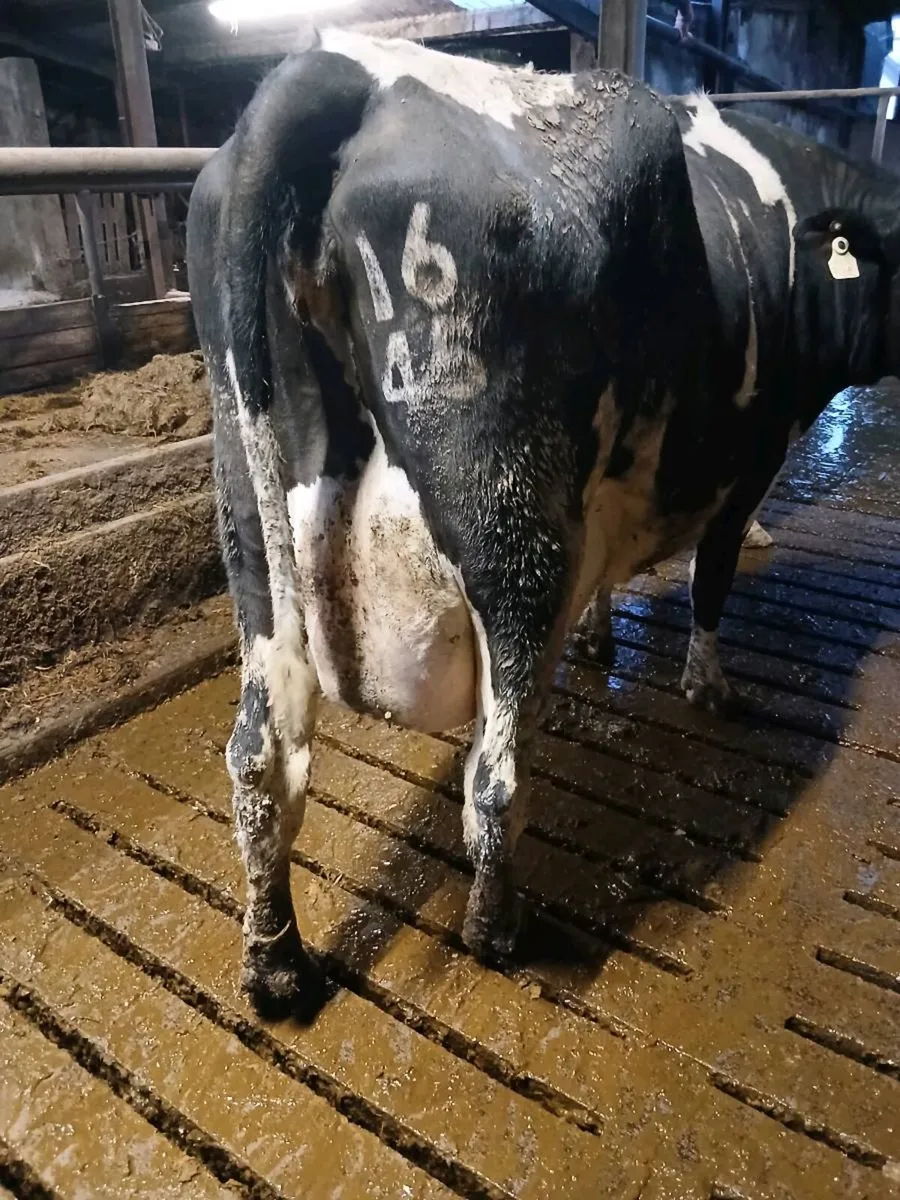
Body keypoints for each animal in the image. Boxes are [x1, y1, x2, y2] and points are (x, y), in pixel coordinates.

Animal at [187, 32, 900, 1019]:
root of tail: (337, 67)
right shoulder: (746, 466)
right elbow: (713, 579)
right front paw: (708, 686)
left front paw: (603, 640)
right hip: (513, 538)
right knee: (493, 780)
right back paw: (496, 931)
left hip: (256, 534)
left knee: (264, 758)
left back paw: (277, 963)